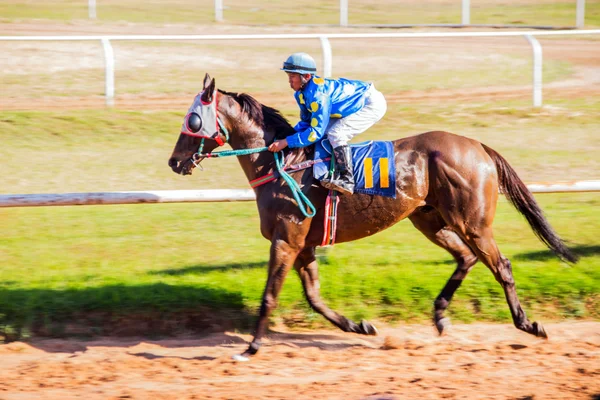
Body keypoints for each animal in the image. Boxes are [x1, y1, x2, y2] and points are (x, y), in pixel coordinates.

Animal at [168, 73, 576, 360]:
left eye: (193, 119)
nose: (173, 162)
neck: (281, 164)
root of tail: (478, 146)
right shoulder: (304, 246)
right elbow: (314, 297)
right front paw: (360, 325)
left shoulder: (287, 240)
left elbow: (270, 295)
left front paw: (251, 347)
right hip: (429, 219)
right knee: (466, 258)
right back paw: (440, 316)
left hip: (473, 222)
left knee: (500, 264)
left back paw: (528, 324)